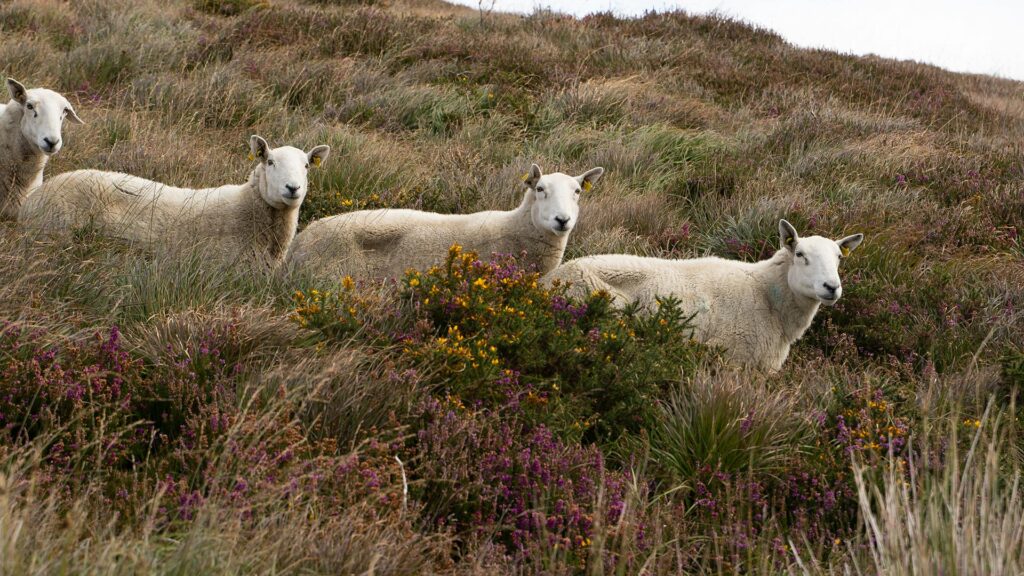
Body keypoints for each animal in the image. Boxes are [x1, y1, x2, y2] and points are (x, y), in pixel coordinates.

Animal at [546, 220, 864, 372]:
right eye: (800, 254)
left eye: (839, 257)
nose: (831, 287)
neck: (766, 295)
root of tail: (546, 280)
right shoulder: (733, 358)